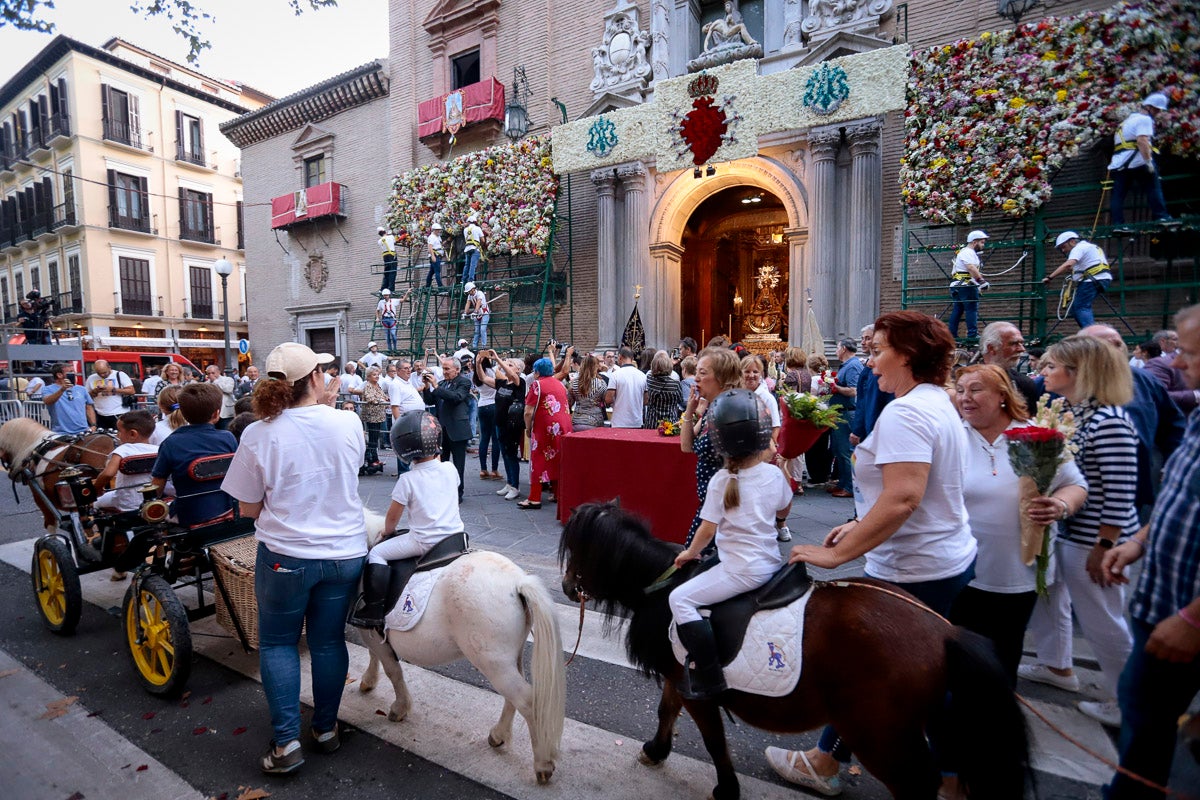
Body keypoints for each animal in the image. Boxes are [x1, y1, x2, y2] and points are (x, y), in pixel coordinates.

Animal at [357, 510, 564, 786]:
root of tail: (518, 582)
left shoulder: (371, 632)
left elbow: (393, 670)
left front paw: (399, 708)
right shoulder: (372, 635)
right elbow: (376, 657)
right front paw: (369, 682)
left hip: (493, 662)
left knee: (527, 701)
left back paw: (542, 764)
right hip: (508, 660)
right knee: (514, 696)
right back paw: (498, 735)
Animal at [556, 501, 1027, 800]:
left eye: (576, 548)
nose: (566, 586)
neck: (664, 586)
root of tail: (946, 631)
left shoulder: (699, 689)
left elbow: (713, 740)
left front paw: (726, 788)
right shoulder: (680, 674)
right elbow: (666, 709)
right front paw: (656, 750)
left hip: (882, 736)